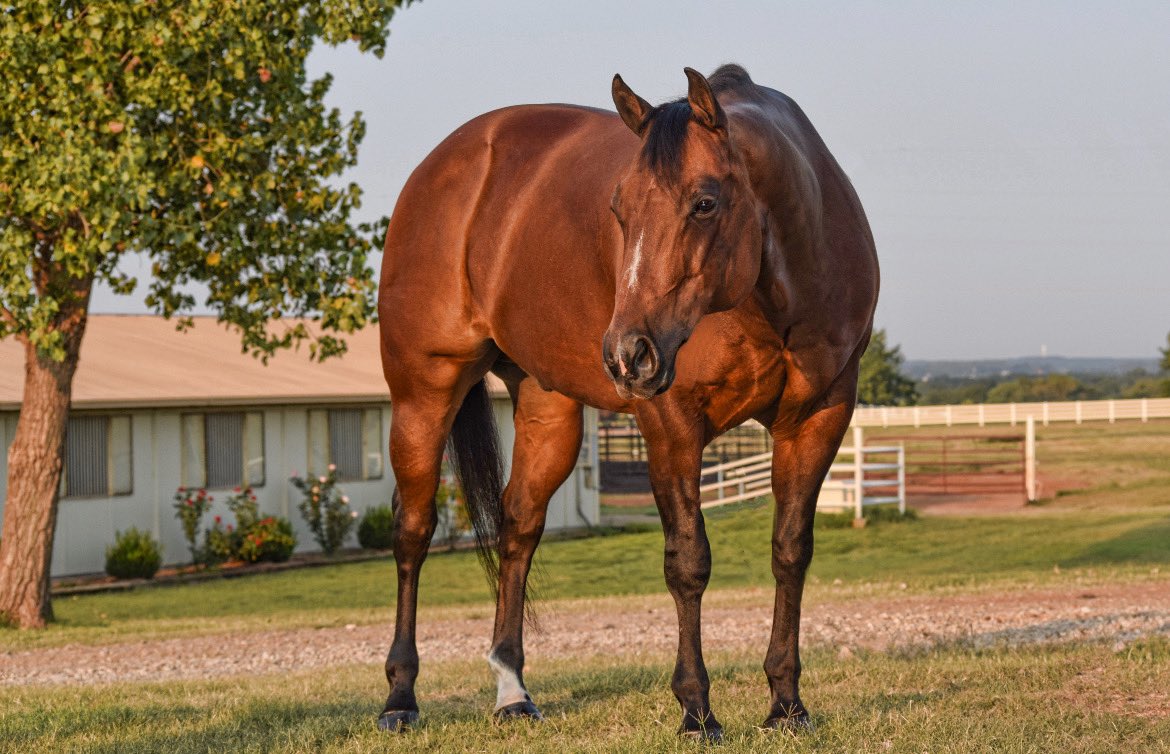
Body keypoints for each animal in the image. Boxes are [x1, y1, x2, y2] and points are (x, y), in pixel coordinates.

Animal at [376, 63, 878, 740]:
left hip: (548, 409)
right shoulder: (671, 423)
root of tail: (443, 166)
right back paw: (400, 697)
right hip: (424, 393)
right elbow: (688, 561)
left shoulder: (820, 416)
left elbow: (791, 552)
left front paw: (787, 705)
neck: (781, 294)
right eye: (619, 208)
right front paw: (697, 711)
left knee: (518, 528)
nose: (626, 355)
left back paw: (513, 692)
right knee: (413, 530)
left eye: (705, 202)